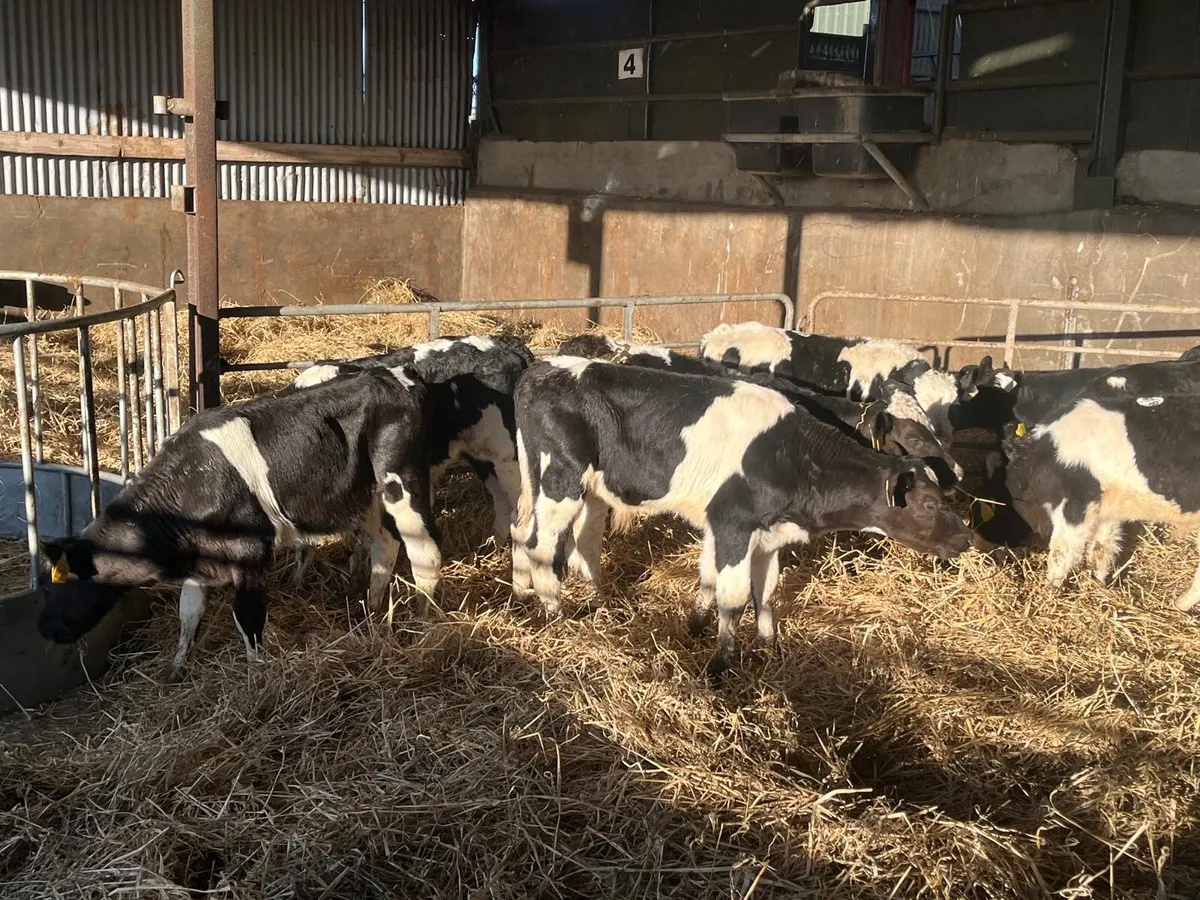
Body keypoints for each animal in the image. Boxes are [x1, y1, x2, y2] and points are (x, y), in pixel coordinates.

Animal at [36, 366, 432, 683]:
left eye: (56, 588)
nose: (44, 628)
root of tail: (387, 377)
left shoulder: (250, 553)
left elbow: (247, 616)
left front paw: (256, 674)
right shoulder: (200, 558)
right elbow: (188, 613)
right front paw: (175, 668)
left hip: (403, 485)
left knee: (423, 552)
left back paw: (425, 619)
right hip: (366, 497)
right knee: (384, 545)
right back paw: (372, 610)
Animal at [510, 357, 974, 677]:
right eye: (929, 504)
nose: (966, 539)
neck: (792, 456)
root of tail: (544, 368)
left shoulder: (762, 534)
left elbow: (759, 591)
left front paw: (765, 648)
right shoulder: (733, 522)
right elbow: (731, 596)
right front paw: (720, 665)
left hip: (572, 486)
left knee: (550, 536)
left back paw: (548, 597)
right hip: (561, 479)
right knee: (541, 544)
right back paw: (554, 612)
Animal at [995, 391, 1200, 610]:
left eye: (1015, 488)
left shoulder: (1074, 506)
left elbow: (1061, 555)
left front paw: (1049, 596)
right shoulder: (1108, 511)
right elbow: (1101, 549)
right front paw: (1099, 587)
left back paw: (1179, 605)